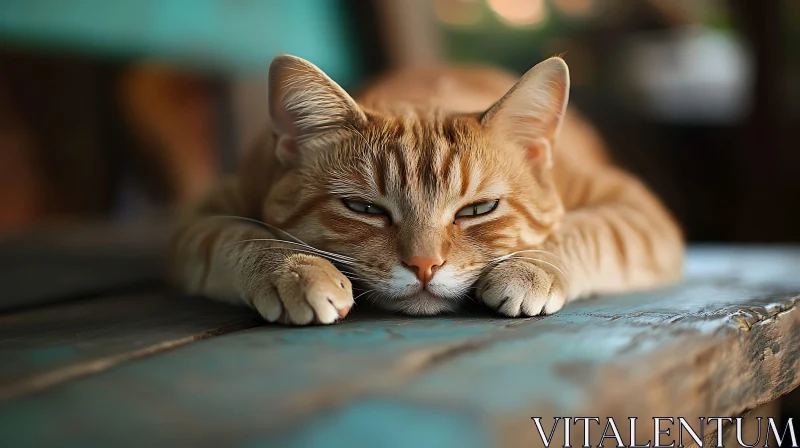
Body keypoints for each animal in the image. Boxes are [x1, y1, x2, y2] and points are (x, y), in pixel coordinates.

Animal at [167, 54, 680, 324]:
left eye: (478, 209)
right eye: (363, 207)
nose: (424, 266)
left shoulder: (639, 212)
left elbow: (581, 232)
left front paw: (530, 268)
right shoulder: (201, 219)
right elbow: (243, 238)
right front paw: (295, 270)